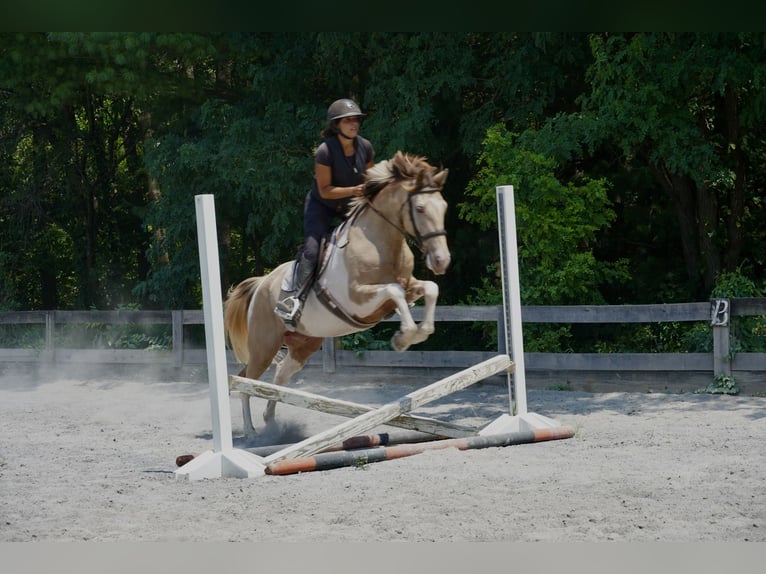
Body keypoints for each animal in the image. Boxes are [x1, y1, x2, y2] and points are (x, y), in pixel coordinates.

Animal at [223, 151, 451, 439]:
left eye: (443, 207)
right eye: (420, 208)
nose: (442, 261)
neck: (381, 243)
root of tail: (262, 283)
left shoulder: (408, 287)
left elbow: (430, 289)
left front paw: (418, 333)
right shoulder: (359, 299)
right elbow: (394, 290)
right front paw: (403, 339)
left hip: (303, 344)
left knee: (279, 376)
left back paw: (272, 423)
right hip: (264, 345)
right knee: (246, 378)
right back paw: (251, 431)